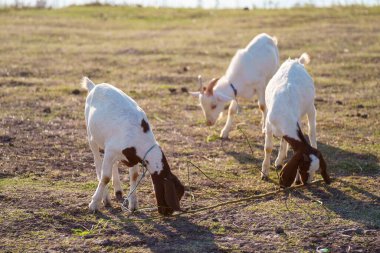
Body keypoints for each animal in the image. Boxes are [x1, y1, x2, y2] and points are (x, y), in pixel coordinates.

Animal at [82, 77, 185, 215]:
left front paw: (134, 205)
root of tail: (94, 86)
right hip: (91, 137)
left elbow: (134, 176)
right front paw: (93, 205)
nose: (167, 212)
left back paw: (118, 190)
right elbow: (105, 177)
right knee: (98, 165)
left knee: (113, 166)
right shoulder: (110, 151)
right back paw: (106, 198)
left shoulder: (132, 157)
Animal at [262, 53, 332, 187]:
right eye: (304, 167)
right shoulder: (268, 124)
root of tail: (295, 61)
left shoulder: (297, 120)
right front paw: (264, 173)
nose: (307, 183)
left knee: (312, 132)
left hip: (311, 108)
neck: (284, 110)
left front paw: (296, 180)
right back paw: (278, 161)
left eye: (317, 169)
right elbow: (268, 148)